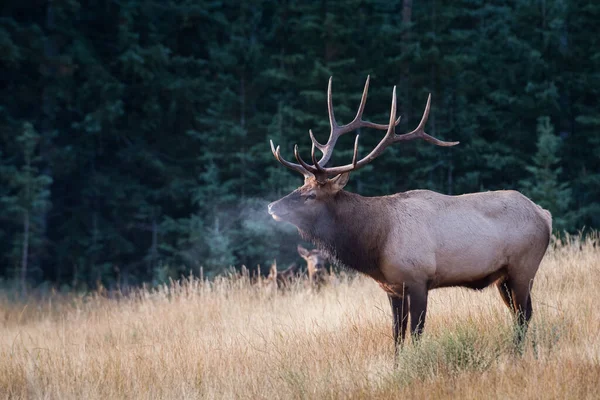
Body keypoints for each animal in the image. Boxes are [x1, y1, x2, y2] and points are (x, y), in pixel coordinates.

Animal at [268, 76, 552, 354]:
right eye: (300, 187)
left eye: (311, 195)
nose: (272, 207)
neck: (376, 243)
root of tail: (544, 214)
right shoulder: (392, 288)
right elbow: (397, 337)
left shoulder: (418, 279)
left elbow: (415, 335)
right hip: (503, 276)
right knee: (519, 313)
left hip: (524, 267)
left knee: (524, 314)